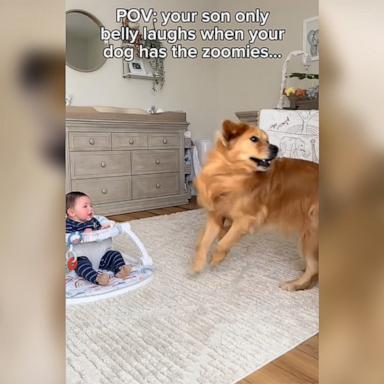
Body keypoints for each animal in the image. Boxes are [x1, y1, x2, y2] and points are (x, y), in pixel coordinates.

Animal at [191, 120, 318, 292]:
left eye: (268, 140)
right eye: (254, 139)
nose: (275, 148)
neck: (230, 174)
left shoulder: (245, 220)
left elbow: (223, 243)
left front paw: (217, 257)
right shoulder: (215, 216)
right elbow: (204, 243)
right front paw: (197, 264)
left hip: (310, 234)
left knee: (314, 267)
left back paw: (294, 284)